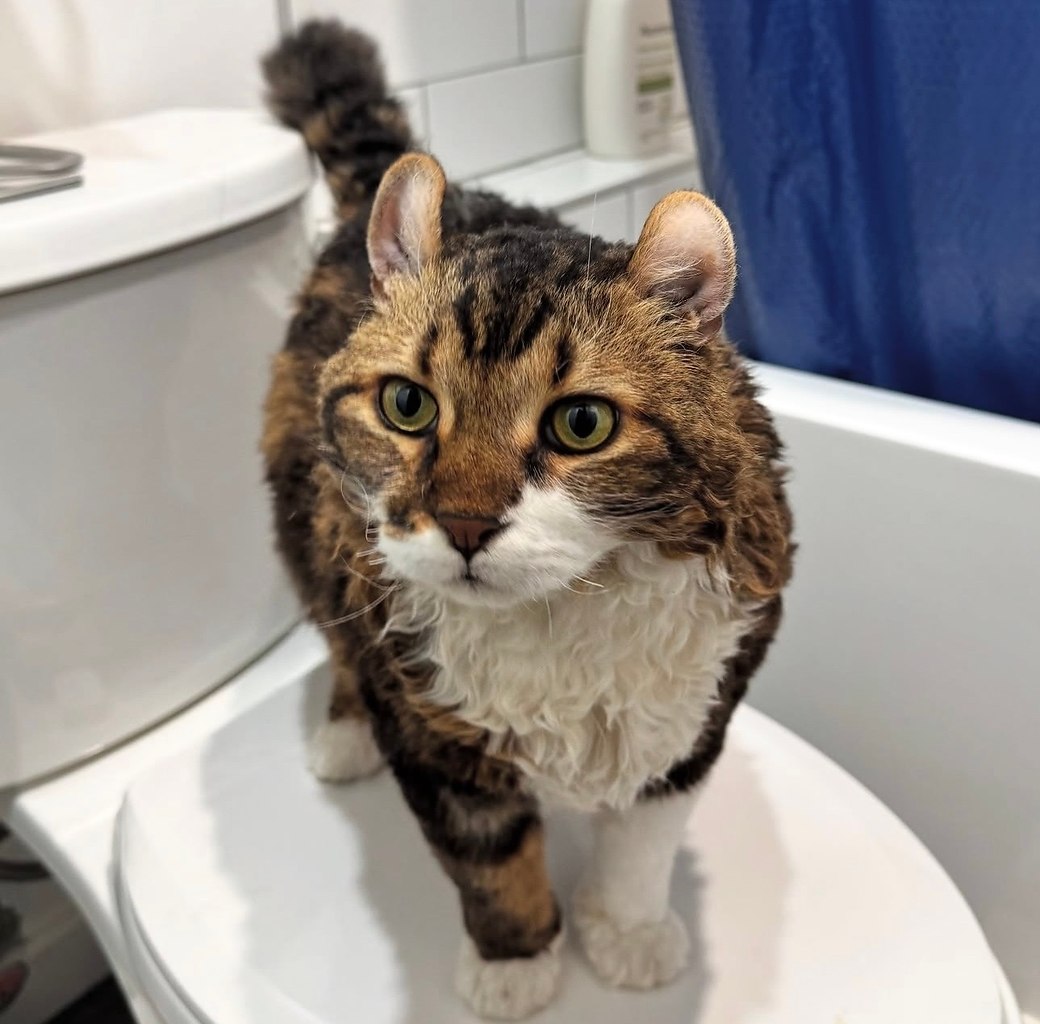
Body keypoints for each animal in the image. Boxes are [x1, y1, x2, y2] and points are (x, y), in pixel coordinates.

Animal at [261, 20, 793, 1021]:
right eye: (407, 405)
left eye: (581, 424)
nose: (465, 524)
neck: (564, 616)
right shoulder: (438, 743)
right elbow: (491, 866)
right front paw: (515, 965)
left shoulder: (698, 705)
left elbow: (644, 844)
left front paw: (626, 933)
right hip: (310, 531)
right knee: (336, 634)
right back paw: (344, 735)